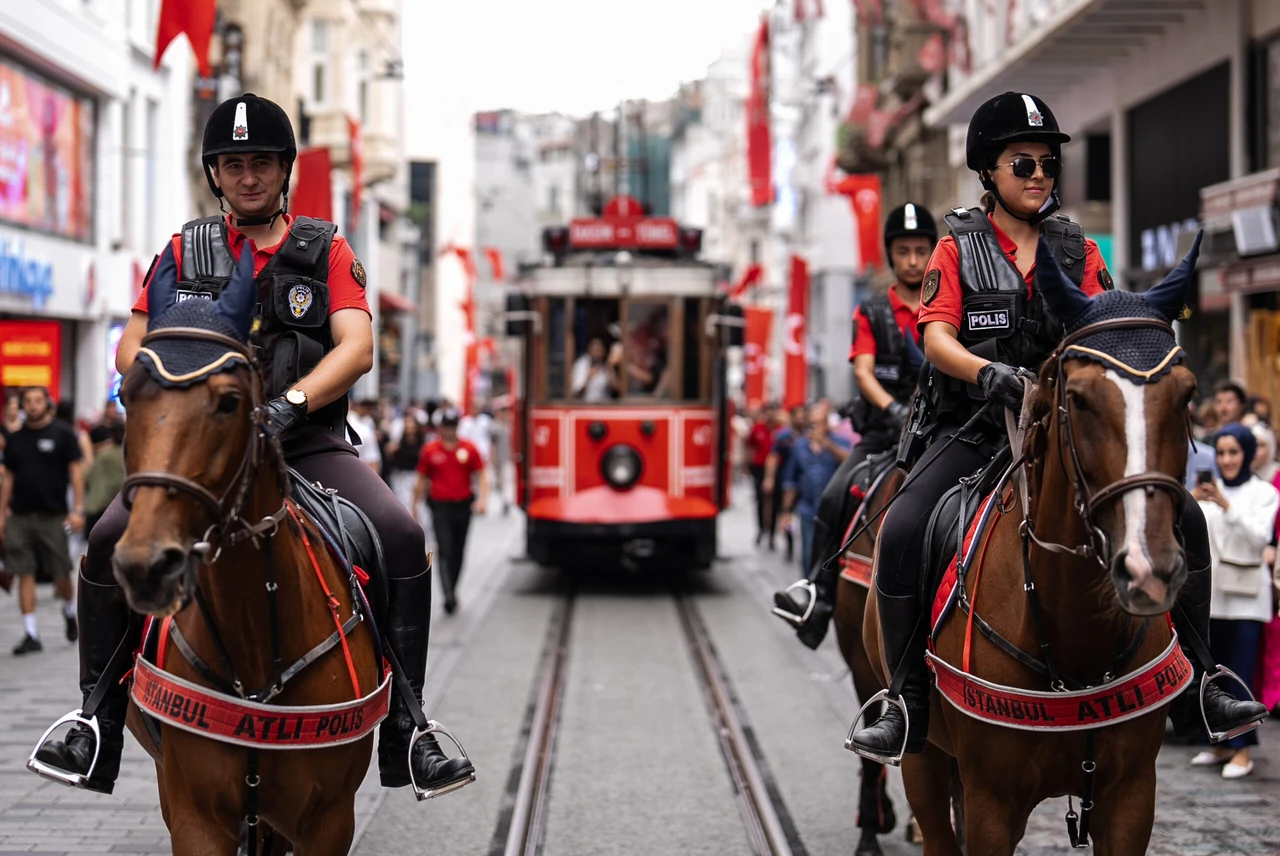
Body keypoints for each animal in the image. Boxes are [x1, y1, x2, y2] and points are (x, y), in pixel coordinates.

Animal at [113, 301, 378, 854]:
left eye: (230, 402)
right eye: (127, 394)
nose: (146, 565)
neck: (256, 636)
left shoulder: (328, 821)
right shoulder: (194, 817)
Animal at [865, 241, 1203, 854]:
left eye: (1186, 394)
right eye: (1079, 399)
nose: (1149, 569)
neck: (1074, 638)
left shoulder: (1132, 798)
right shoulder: (992, 805)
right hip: (923, 758)